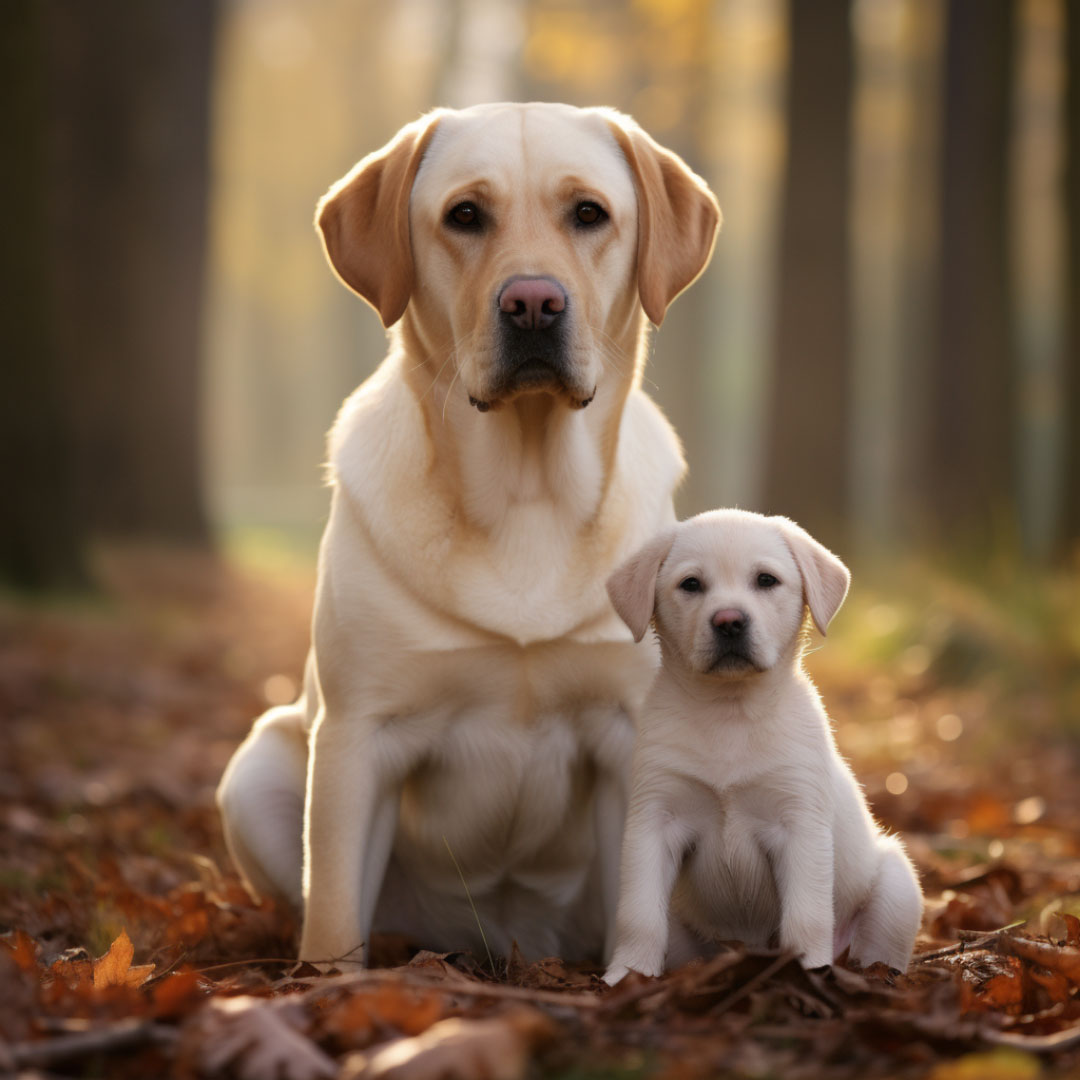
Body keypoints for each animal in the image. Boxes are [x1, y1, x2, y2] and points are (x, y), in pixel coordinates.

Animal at [214, 105, 721, 972]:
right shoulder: (358, 735)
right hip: (259, 766)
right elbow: (335, 912)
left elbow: (637, 900)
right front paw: (329, 984)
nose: (533, 304)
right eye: (465, 215)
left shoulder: (630, 734)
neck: (527, 491)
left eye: (589, 213)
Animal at [604, 509, 924, 984]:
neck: (730, 713)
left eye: (766, 580)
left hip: (896, 886)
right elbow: (638, 915)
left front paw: (807, 971)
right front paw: (625, 975)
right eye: (691, 584)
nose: (729, 621)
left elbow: (805, 916)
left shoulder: (799, 823)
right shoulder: (655, 818)